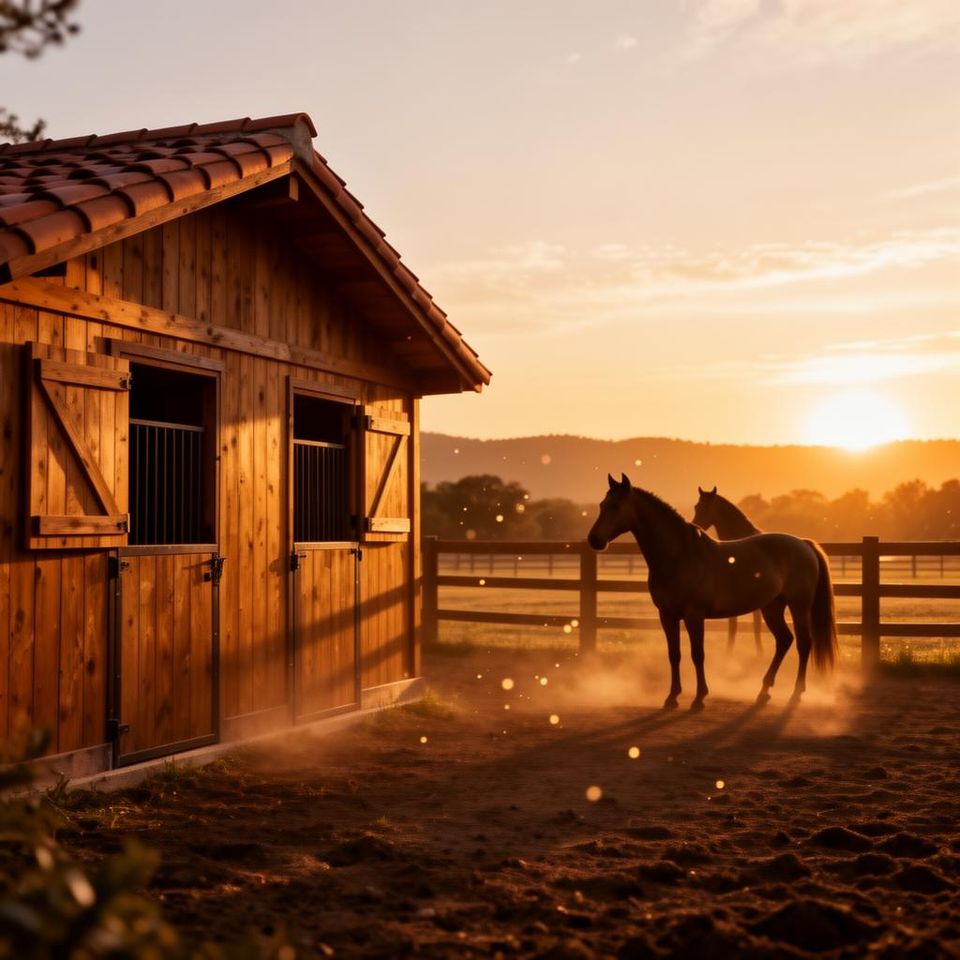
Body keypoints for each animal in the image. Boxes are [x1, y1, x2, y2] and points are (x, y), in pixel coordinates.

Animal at [692, 486, 764, 655]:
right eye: (696, 507)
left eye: (707, 507)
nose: (695, 527)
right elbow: (733, 623)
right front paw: (728, 653)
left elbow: (753, 624)